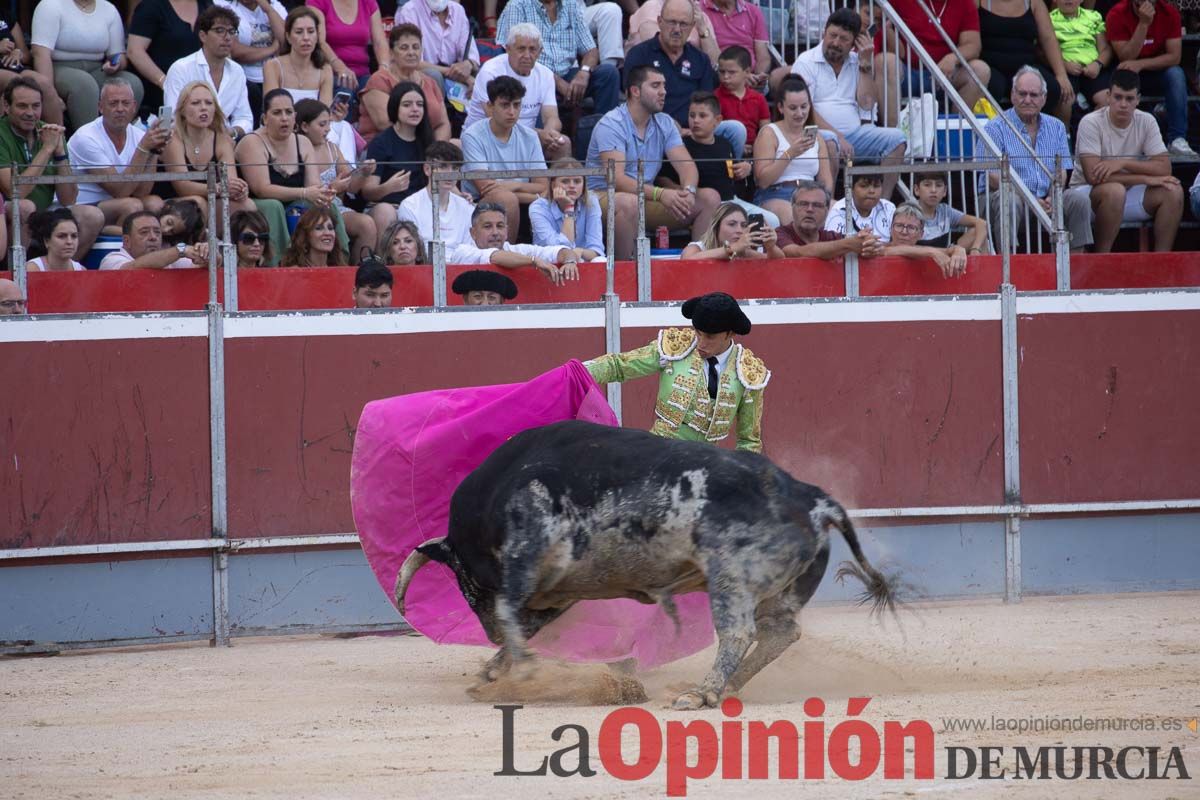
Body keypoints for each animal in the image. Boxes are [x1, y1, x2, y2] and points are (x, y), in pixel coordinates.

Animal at [393, 419, 892, 705]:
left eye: (464, 581)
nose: (489, 634)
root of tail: (812, 497)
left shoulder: (527, 552)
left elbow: (511, 611)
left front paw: (524, 671)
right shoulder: (558, 590)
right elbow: (527, 622)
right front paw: (496, 670)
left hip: (729, 579)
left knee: (739, 632)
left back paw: (702, 695)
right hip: (781, 591)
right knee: (780, 632)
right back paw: (727, 688)